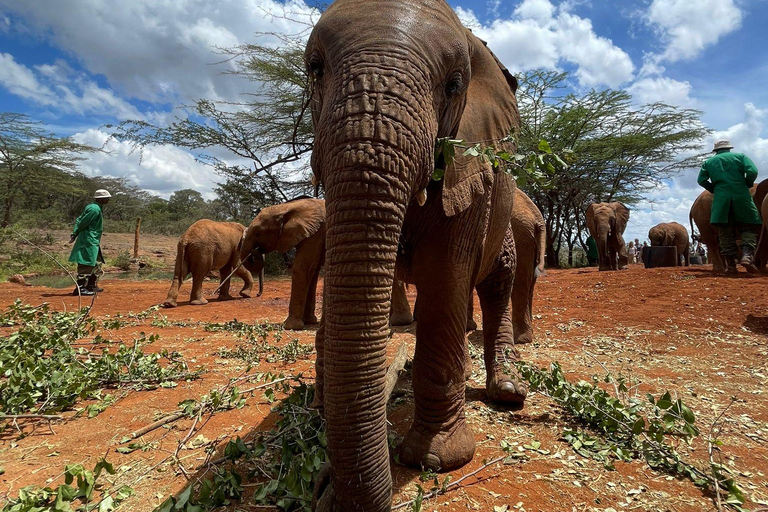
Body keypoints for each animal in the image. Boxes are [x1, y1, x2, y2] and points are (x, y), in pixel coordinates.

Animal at [306, 2, 528, 510]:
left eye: (453, 84)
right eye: (315, 69)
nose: (324, 487)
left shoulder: (469, 169)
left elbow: (445, 276)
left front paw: (436, 460)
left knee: (497, 283)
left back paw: (507, 391)